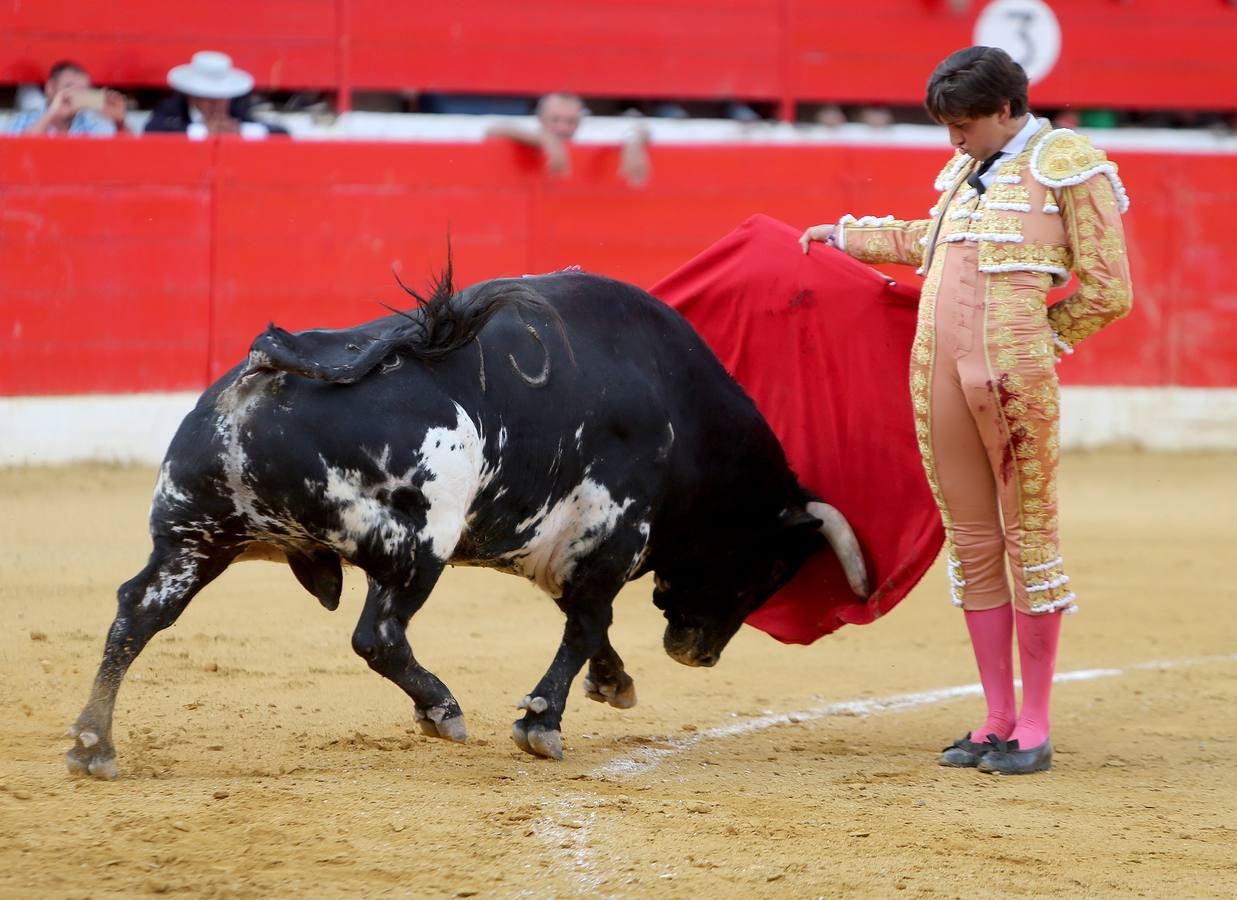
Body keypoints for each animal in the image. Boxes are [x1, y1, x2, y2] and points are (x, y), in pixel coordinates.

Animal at [65, 263, 860, 776]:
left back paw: (92, 744)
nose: (696, 653)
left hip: (193, 535)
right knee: (378, 636)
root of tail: (281, 362)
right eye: (767, 566)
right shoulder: (610, 531)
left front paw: (611, 684)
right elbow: (586, 622)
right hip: (416, 545)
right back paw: (441, 709)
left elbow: (586, 621)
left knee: (136, 612)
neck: (680, 408)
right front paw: (541, 723)